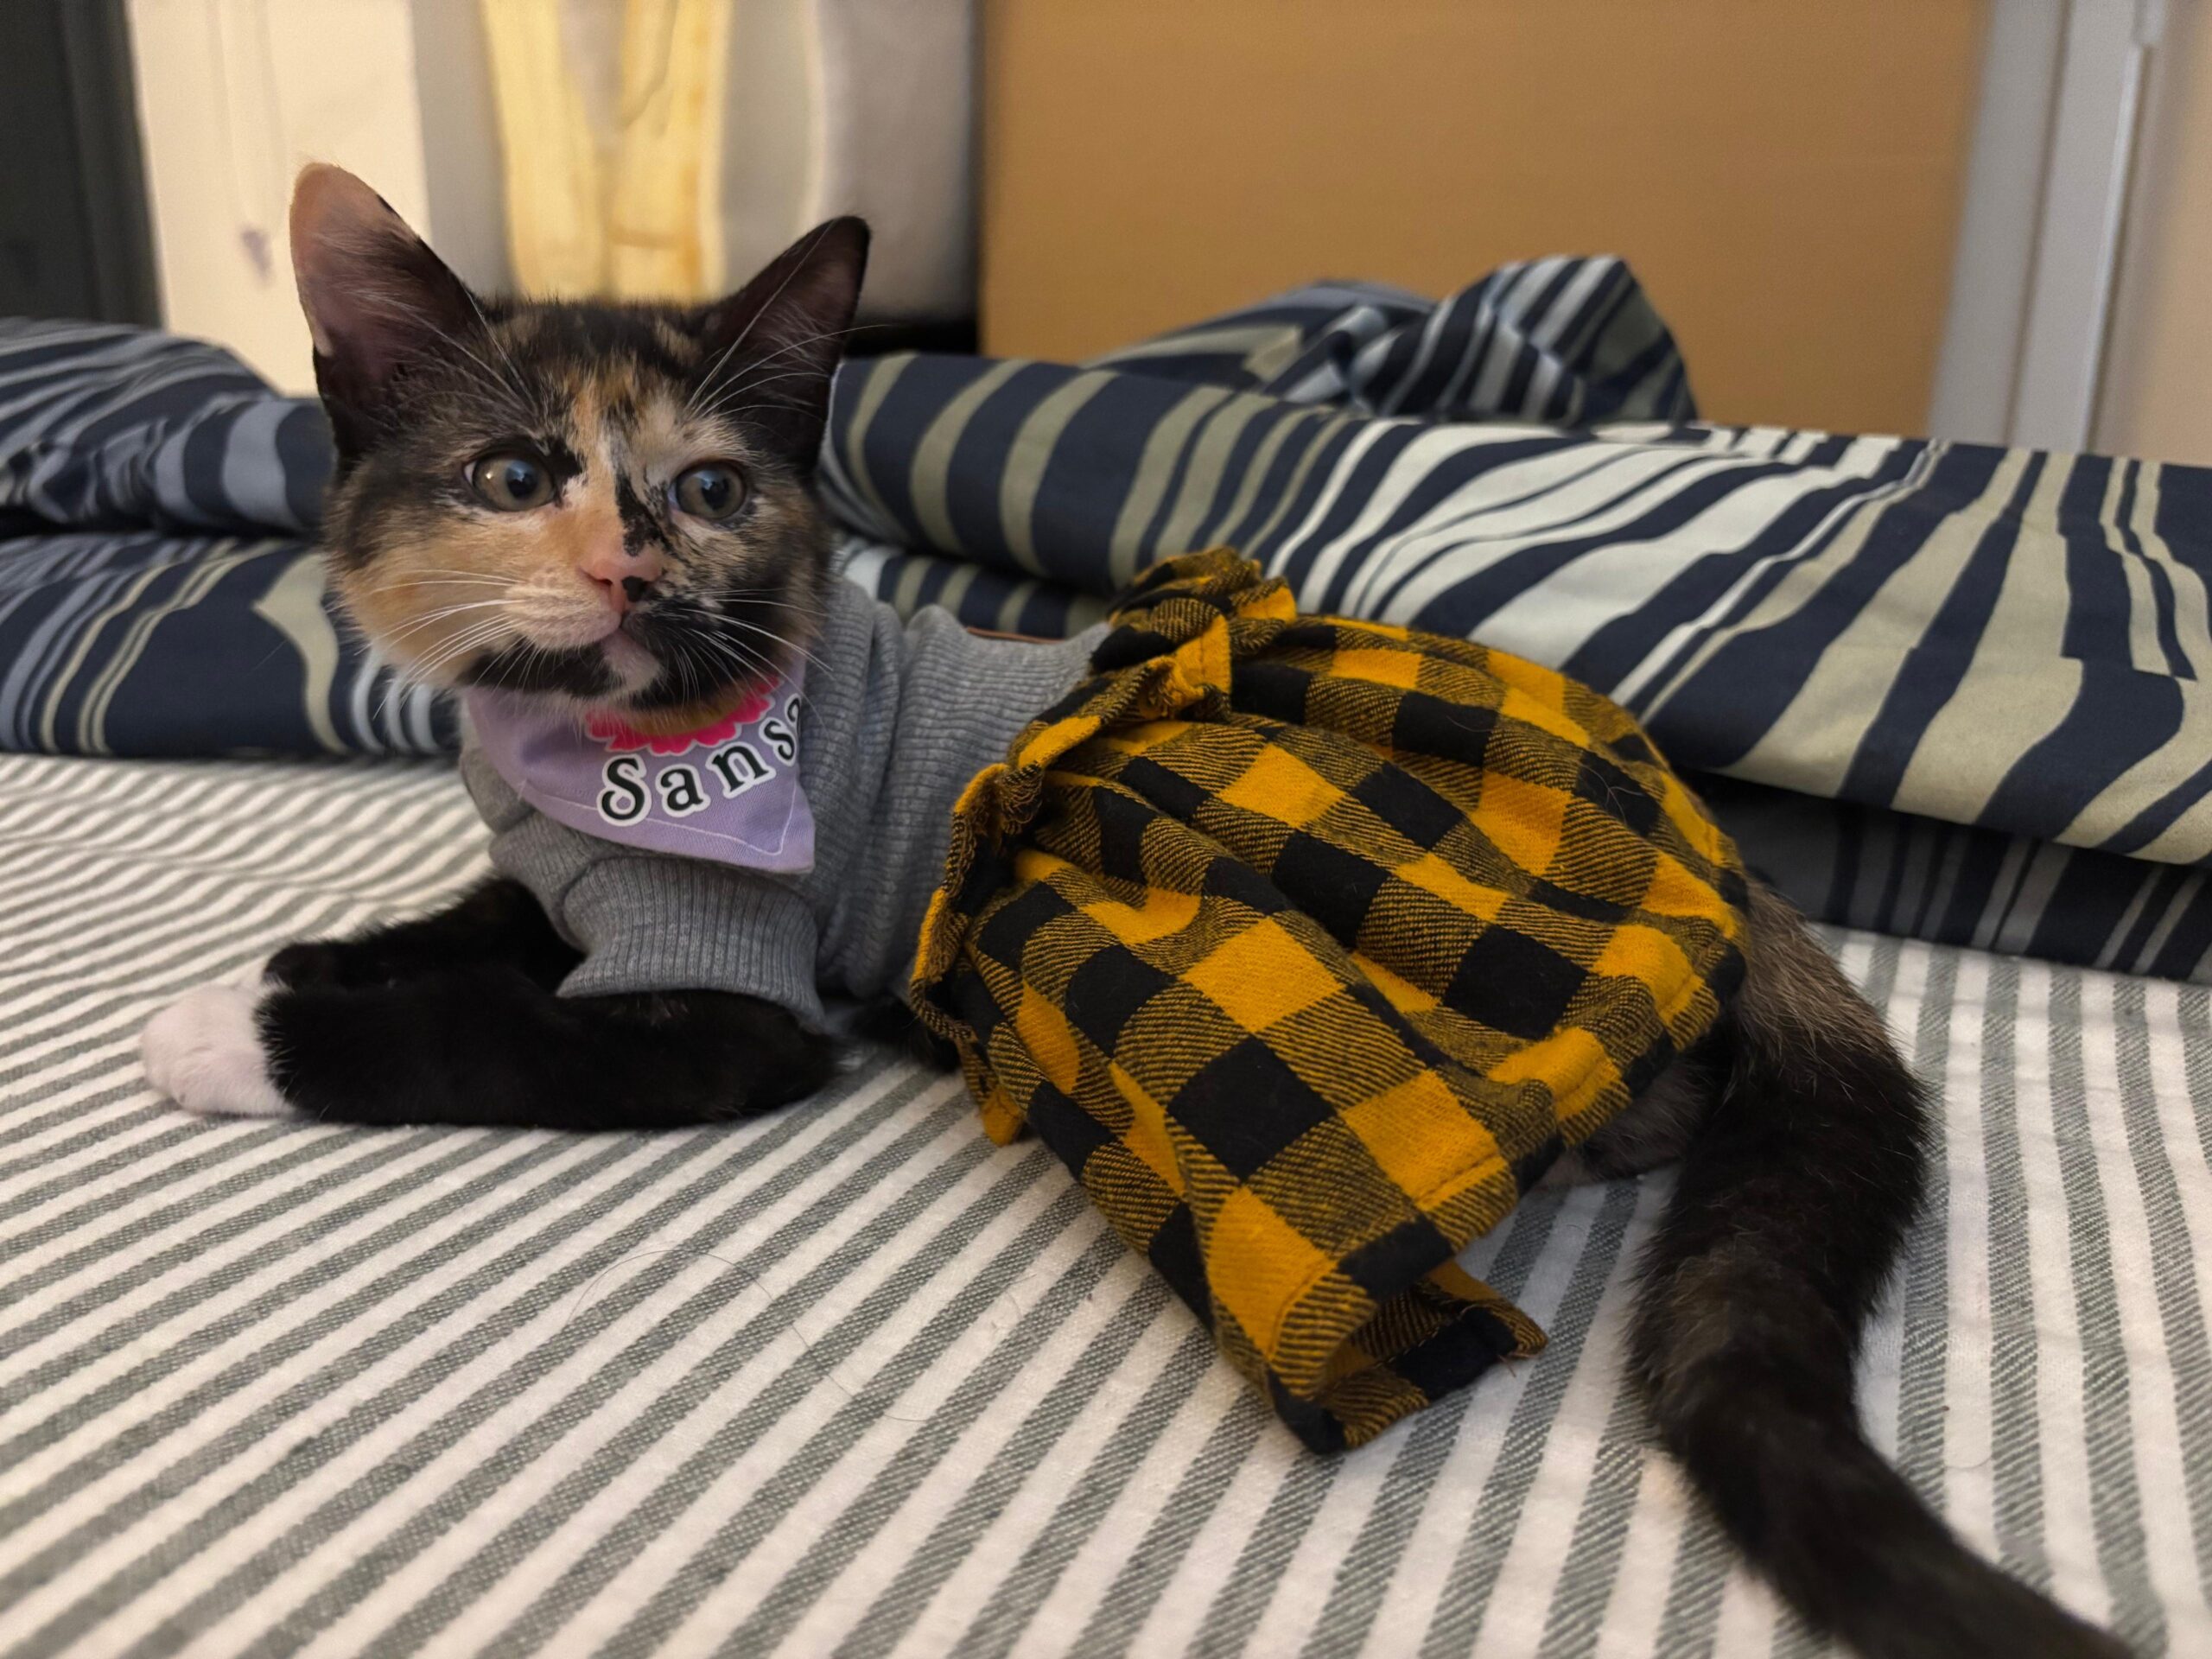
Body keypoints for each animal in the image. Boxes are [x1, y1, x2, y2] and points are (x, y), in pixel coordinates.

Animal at [138, 165, 2124, 1659]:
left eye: (706, 488)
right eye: (509, 475)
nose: (632, 567)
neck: (587, 744)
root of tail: (1711, 854)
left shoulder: (729, 1001)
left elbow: (502, 1034)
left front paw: (237, 1030)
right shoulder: (553, 863)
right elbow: (483, 924)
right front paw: (327, 949)